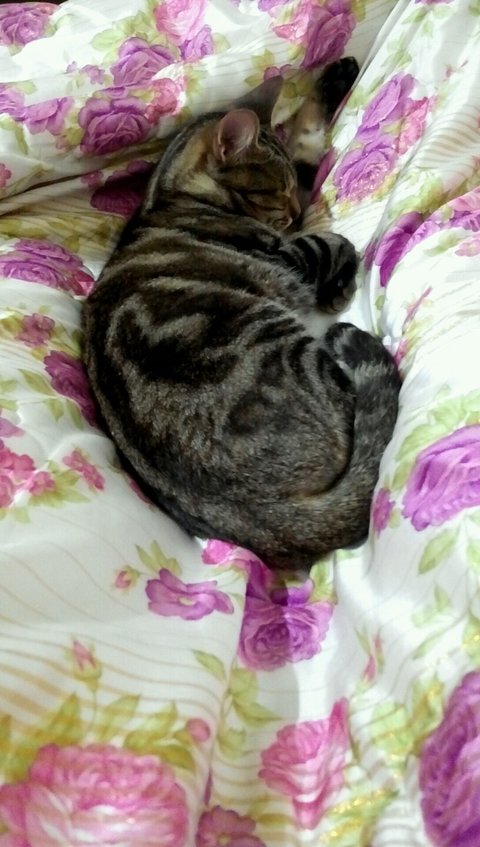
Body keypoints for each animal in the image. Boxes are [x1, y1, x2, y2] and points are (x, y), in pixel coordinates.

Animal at [83, 59, 401, 571]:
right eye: (276, 192)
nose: (294, 211)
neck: (171, 197)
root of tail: (261, 516)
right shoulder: (290, 255)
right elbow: (329, 239)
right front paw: (339, 276)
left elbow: (306, 145)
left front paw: (336, 76)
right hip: (290, 348)